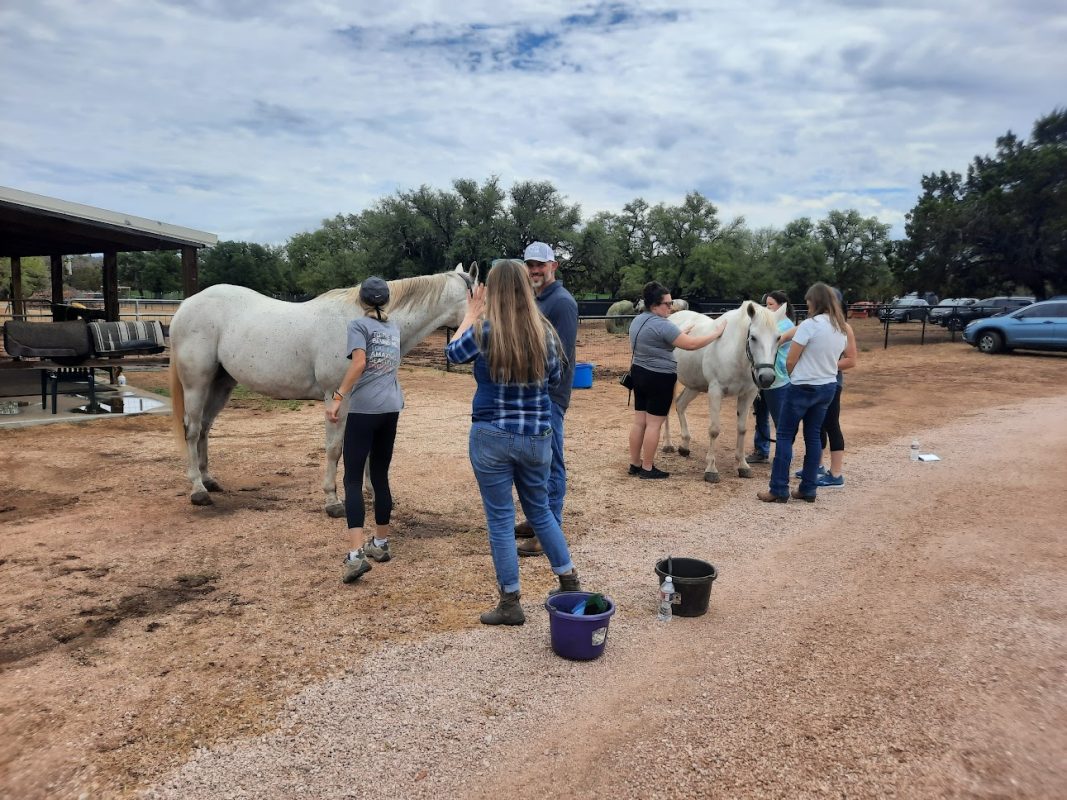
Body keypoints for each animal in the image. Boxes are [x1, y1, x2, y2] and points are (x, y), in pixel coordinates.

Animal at [168, 263, 478, 514]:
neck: (366, 322)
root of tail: (186, 305)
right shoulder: (336, 399)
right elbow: (334, 449)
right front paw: (332, 500)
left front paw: (371, 492)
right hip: (197, 383)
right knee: (192, 430)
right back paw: (198, 489)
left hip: (221, 384)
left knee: (204, 428)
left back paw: (208, 479)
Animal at [661, 302, 789, 482]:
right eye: (753, 337)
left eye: (778, 338)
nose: (767, 378)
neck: (736, 353)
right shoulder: (716, 391)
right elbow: (714, 430)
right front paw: (711, 469)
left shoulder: (748, 394)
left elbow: (742, 429)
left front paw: (742, 465)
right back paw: (668, 444)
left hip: (694, 386)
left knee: (680, 405)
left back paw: (684, 446)